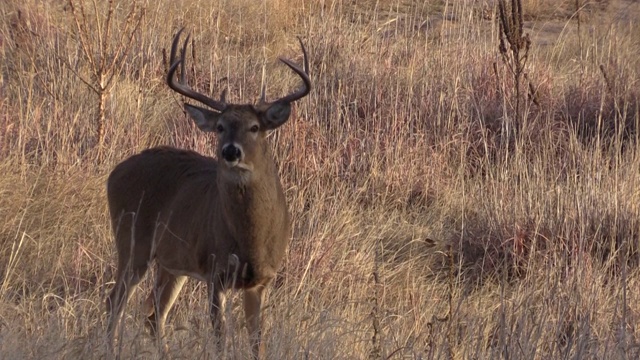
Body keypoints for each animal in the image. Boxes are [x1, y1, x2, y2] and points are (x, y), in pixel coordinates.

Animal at [105, 28, 310, 360]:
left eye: (255, 127)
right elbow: (220, 338)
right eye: (221, 126)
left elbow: (258, 343)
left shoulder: (261, 280)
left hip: (172, 263)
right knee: (116, 302)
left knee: (154, 314)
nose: (230, 151)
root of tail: (114, 173)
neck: (250, 239)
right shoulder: (216, 272)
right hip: (132, 242)